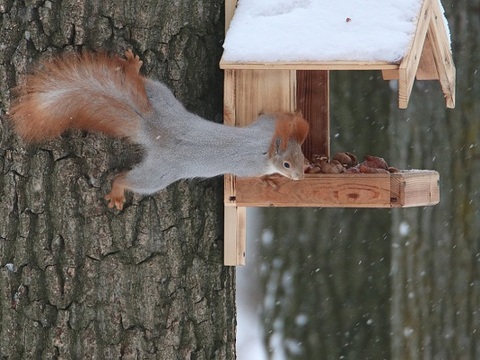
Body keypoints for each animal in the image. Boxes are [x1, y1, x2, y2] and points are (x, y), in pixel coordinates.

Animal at [9, 49, 310, 210]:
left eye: (302, 156)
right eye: (286, 164)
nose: (300, 176)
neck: (265, 146)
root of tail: (153, 127)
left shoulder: (265, 126)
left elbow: (274, 117)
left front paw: (295, 116)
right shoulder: (249, 163)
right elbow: (251, 175)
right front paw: (267, 181)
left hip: (159, 97)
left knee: (142, 82)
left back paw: (132, 66)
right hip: (157, 175)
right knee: (127, 179)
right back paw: (117, 192)